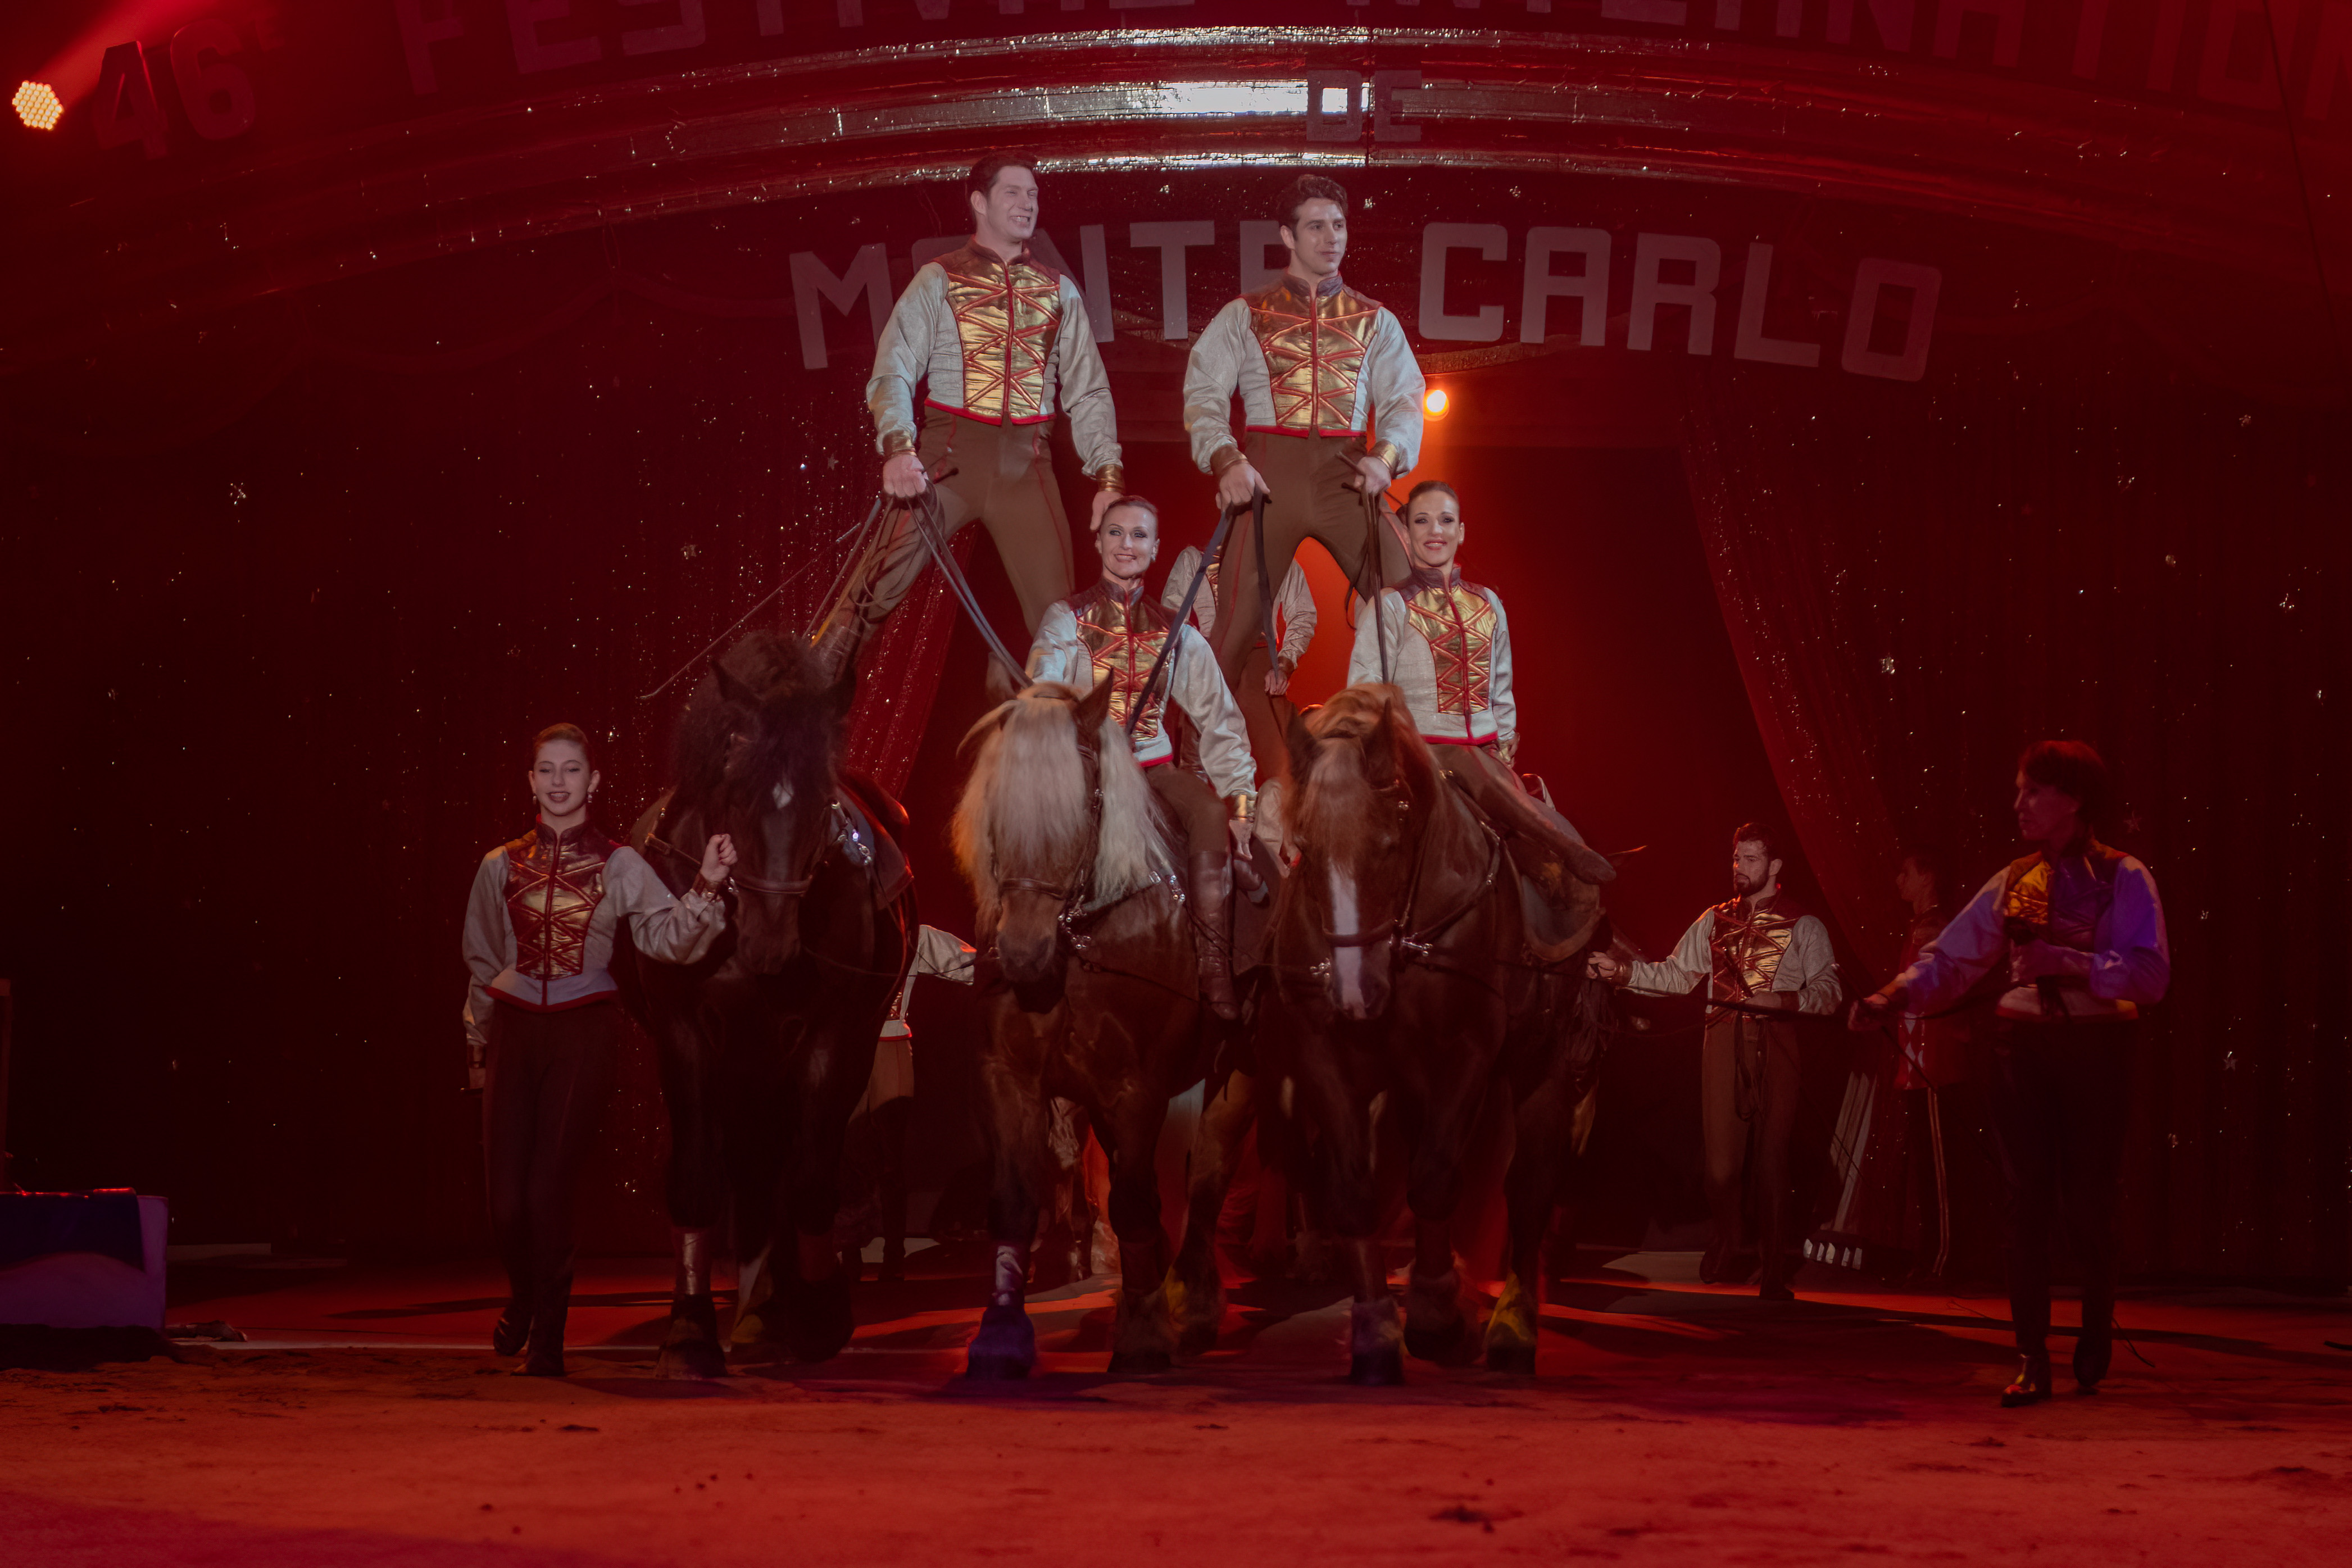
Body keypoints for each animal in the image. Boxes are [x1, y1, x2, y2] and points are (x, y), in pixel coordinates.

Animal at [614, 631, 915, 1378]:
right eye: (735, 789)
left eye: (821, 801)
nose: (770, 942)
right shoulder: (683, 1032)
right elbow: (696, 1174)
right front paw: (689, 1329)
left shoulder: (833, 1035)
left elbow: (806, 1178)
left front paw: (820, 1313)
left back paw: (776, 1310)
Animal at [951, 675, 1240, 1376]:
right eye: (996, 812)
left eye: (1078, 811)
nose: (1021, 953)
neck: (1078, 944)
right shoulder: (1011, 1079)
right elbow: (1015, 1200)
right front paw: (1001, 1334)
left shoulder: (1133, 1089)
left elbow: (1133, 1202)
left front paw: (1144, 1333)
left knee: (1208, 1174)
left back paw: (1192, 1303)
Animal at [1270, 683, 1616, 1383]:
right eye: (1306, 848)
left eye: (1390, 841)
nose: (1354, 992)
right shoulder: (1323, 1057)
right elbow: (1354, 1189)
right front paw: (1375, 1331)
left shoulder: (1465, 1055)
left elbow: (1433, 1178)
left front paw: (1434, 1313)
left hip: (1545, 1065)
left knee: (1529, 1189)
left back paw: (1512, 1326)